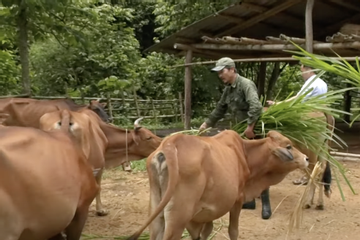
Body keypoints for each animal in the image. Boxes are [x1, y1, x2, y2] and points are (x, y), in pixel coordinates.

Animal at [127, 129, 310, 240]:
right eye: (289, 146)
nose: (307, 158)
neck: (245, 154)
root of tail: (170, 144)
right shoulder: (237, 200)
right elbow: (233, 230)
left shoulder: (205, 212)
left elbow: (205, 231)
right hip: (177, 217)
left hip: (157, 211)